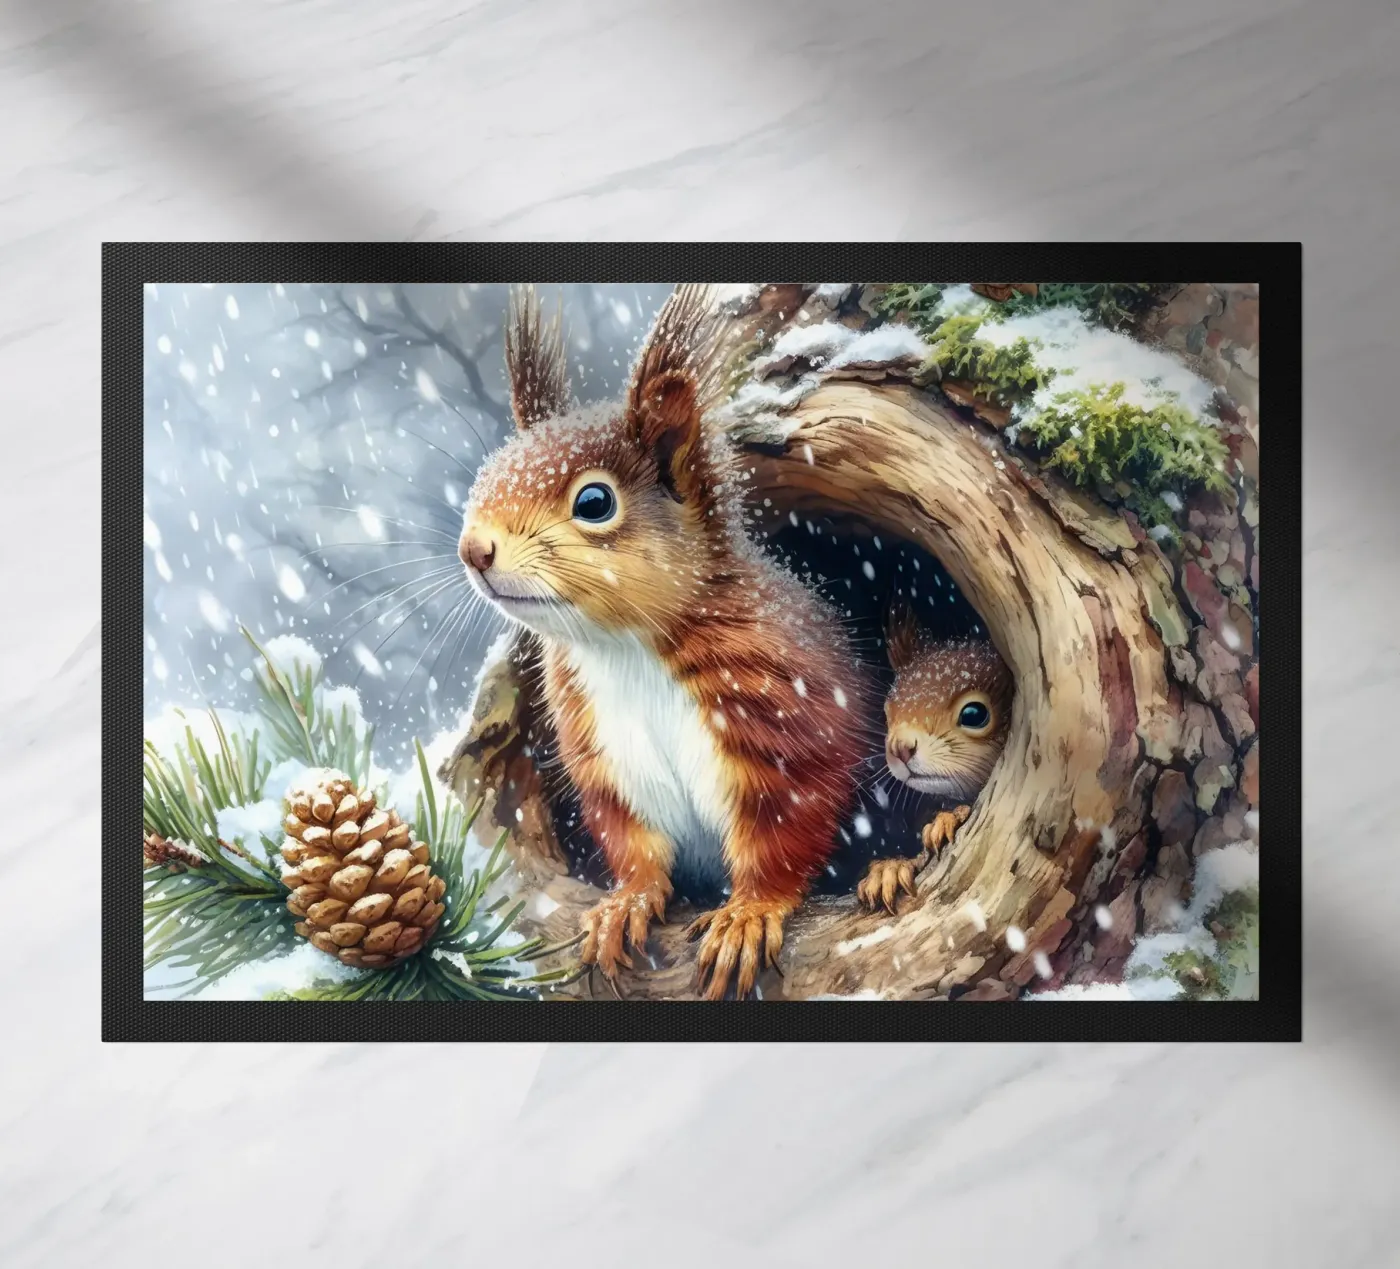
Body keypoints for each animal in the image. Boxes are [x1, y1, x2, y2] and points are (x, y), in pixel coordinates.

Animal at [458, 284, 874, 999]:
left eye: (594, 502)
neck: (625, 650)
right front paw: (623, 905)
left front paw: (748, 913)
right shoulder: (606, 756)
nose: (473, 549)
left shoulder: (791, 722)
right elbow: (635, 845)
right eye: (488, 476)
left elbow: (786, 835)